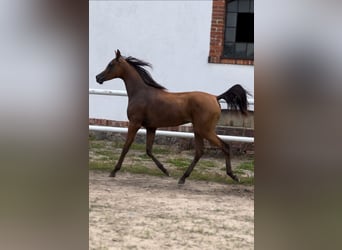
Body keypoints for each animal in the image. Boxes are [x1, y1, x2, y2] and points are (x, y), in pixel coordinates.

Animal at [96, 50, 248, 184]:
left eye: (111, 64)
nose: (98, 77)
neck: (141, 92)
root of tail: (215, 97)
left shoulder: (134, 123)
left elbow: (126, 147)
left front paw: (113, 171)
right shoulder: (151, 127)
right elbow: (149, 150)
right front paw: (166, 171)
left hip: (205, 130)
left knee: (225, 146)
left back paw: (234, 176)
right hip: (198, 130)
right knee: (200, 152)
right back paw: (183, 178)